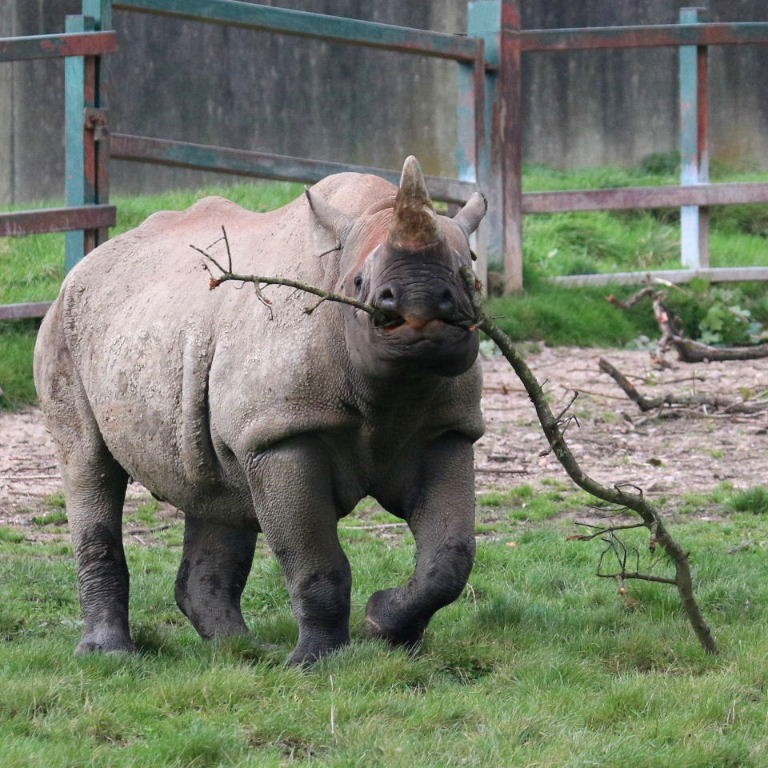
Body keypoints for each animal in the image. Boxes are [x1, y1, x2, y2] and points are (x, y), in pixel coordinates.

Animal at [34, 156, 487, 664]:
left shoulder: (446, 430)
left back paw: (244, 652)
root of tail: (86, 263)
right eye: (358, 285)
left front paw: (385, 627)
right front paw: (315, 663)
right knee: (88, 464)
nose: (420, 304)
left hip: (175, 329)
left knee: (215, 490)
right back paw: (112, 655)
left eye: (469, 275)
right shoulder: (282, 436)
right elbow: (315, 559)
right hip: (65, 326)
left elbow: (449, 556)